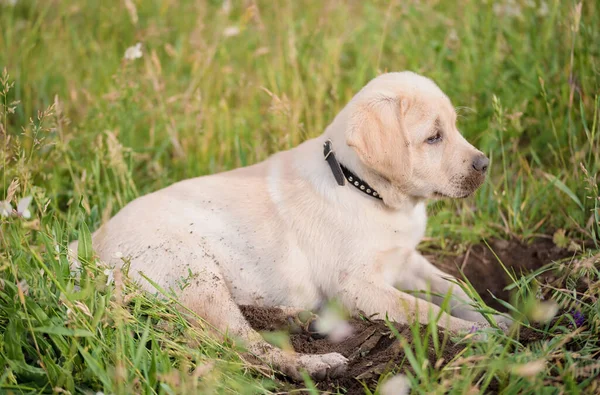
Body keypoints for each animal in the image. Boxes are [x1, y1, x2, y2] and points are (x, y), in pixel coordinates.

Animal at [71, 72, 510, 382]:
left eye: (454, 128)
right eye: (433, 138)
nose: (485, 164)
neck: (361, 186)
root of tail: (89, 247)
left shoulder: (407, 260)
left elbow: (454, 288)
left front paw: (495, 317)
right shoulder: (358, 288)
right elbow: (422, 309)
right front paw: (478, 334)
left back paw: (298, 319)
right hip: (193, 274)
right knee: (242, 346)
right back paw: (315, 365)